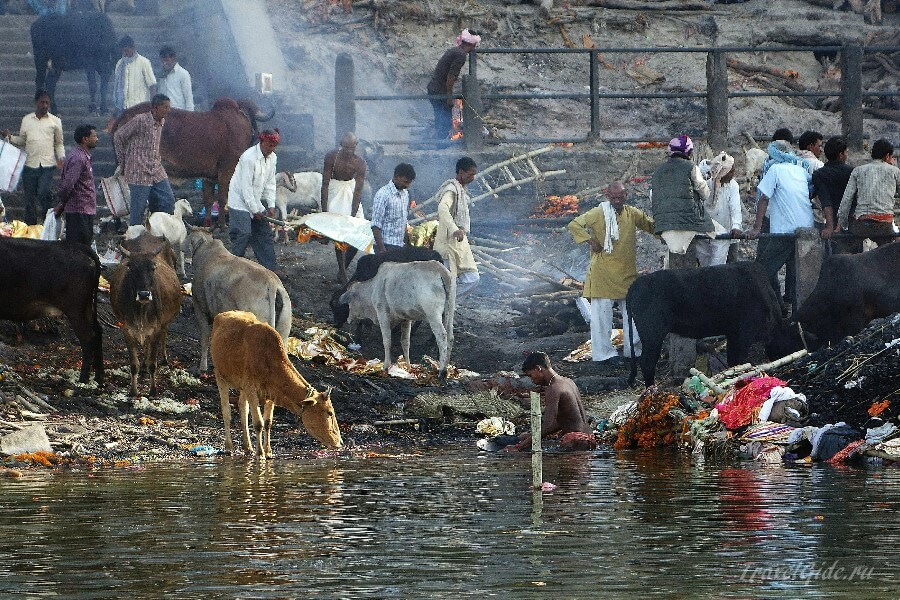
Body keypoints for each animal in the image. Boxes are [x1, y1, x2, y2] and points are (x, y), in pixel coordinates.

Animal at [0, 238, 103, 384]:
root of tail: (77, 246)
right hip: (87, 307)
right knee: (98, 332)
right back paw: (99, 378)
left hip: (76, 310)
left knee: (88, 338)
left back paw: (83, 379)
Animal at [108, 232, 185, 396]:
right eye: (130, 267)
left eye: (153, 267)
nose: (144, 294)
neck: (141, 311)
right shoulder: (126, 329)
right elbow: (133, 364)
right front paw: (133, 390)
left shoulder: (156, 327)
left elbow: (153, 364)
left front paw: (153, 390)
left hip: (164, 322)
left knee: (163, 335)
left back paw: (164, 358)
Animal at [209, 310, 342, 454]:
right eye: (329, 412)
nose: (340, 442)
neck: (269, 361)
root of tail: (223, 314)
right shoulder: (251, 388)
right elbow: (258, 423)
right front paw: (260, 453)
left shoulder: (269, 394)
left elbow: (268, 422)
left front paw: (268, 452)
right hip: (219, 375)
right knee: (226, 411)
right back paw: (229, 446)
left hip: (241, 386)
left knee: (242, 408)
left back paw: (248, 447)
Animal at [628, 262, 784, 384]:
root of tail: (636, 284)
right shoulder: (744, 335)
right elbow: (740, 360)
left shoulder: (733, 335)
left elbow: (732, 361)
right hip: (653, 335)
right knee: (647, 362)